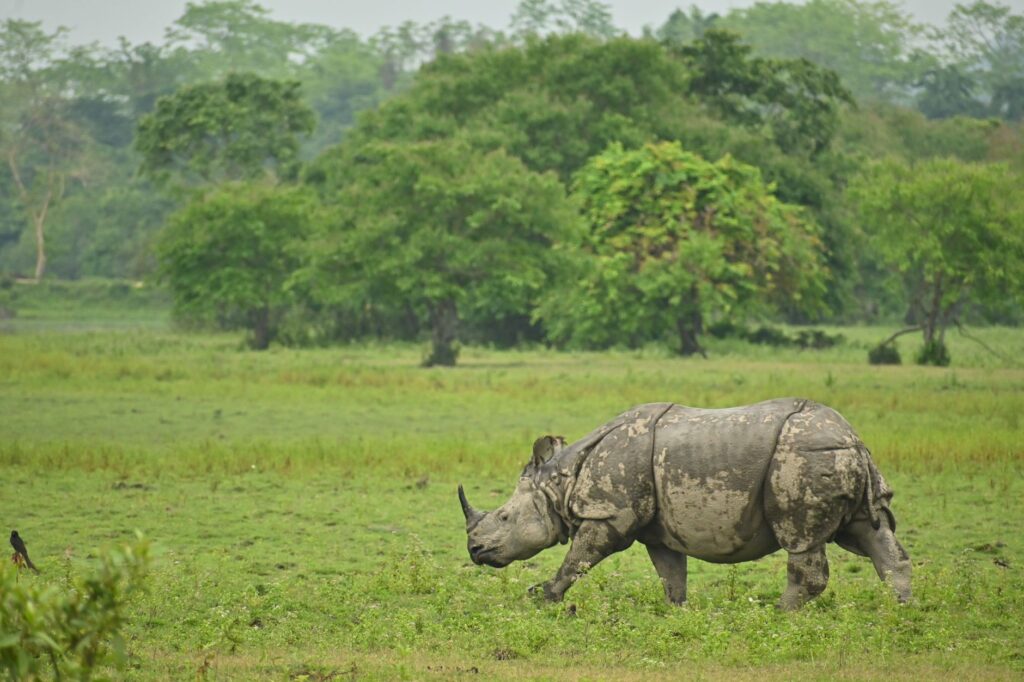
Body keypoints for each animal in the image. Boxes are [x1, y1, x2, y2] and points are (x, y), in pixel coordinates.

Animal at [458, 399, 911, 610]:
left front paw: (541, 596)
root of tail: (854, 440)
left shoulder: (608, 514)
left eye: (504, 516)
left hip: (804, 456)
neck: (561, 483)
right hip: (839, 457)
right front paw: (678, 612)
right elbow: (671, 574)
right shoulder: (657, 530)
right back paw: (902, 613)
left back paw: (779, 615)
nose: (475, 550)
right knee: (871, 535)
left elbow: (578, 560)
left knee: (802, 539)